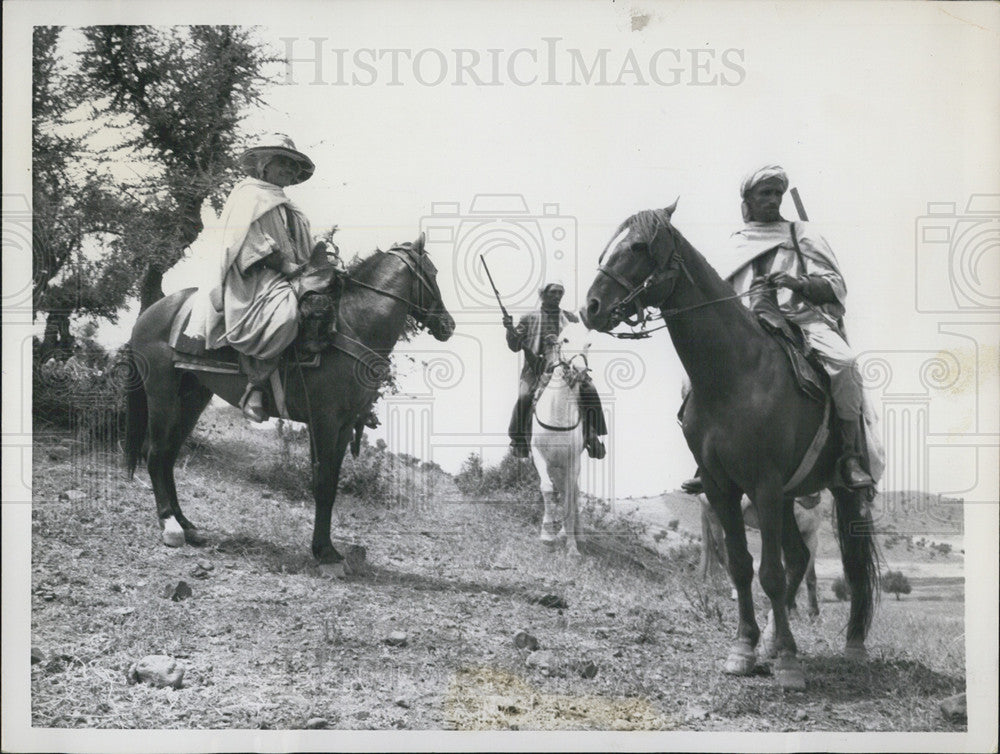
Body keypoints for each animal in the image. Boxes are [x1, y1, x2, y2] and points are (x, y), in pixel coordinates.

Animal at [123, 235, 456, 564]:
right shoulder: (323, 421)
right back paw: (170, 525)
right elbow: (322, 483)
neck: (352, 326)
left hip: (192, 397)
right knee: (154, 453)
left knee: (168, 455)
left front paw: (327, 548)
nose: (448, 325)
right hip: (161, 392)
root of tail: (152, 312)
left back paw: (186, 524)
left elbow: (332, 482)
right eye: (433, 273)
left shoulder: (344, 425)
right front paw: (324, 552)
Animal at [532, 320, 592, 556]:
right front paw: (547, 535)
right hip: (557, 469)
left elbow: (568, 501)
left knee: (573, 496)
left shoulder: (572, 462)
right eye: (565, 340)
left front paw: (572, 547)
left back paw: (577, 535)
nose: (580, 371)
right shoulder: (539, 456)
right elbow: (547, 489)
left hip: (569, 469)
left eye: (589, 343)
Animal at [584, 206, 880, 688]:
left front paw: (789, 662)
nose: (590, 307)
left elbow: (770, 573)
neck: (735, 373)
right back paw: (778, 639)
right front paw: (746, 647)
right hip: (785, 499)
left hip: (837, 491)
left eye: (640, 246)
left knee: (849, 565)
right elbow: (742, 566)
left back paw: (853, 645)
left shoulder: (764, 484)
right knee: (799, 558)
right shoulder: (722, 486)